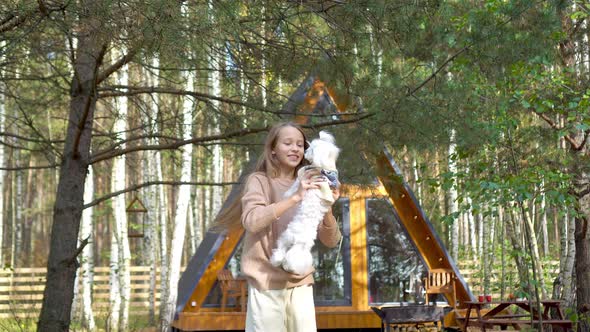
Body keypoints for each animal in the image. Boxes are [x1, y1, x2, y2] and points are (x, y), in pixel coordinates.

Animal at [270, 131, 340, 274]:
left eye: (311, 149)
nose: (305, 151)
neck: (325, 168)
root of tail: (299, 242)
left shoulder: (302, 176)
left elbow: (294, 186)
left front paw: (287, 194)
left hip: (286, 236)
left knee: (280, 248)